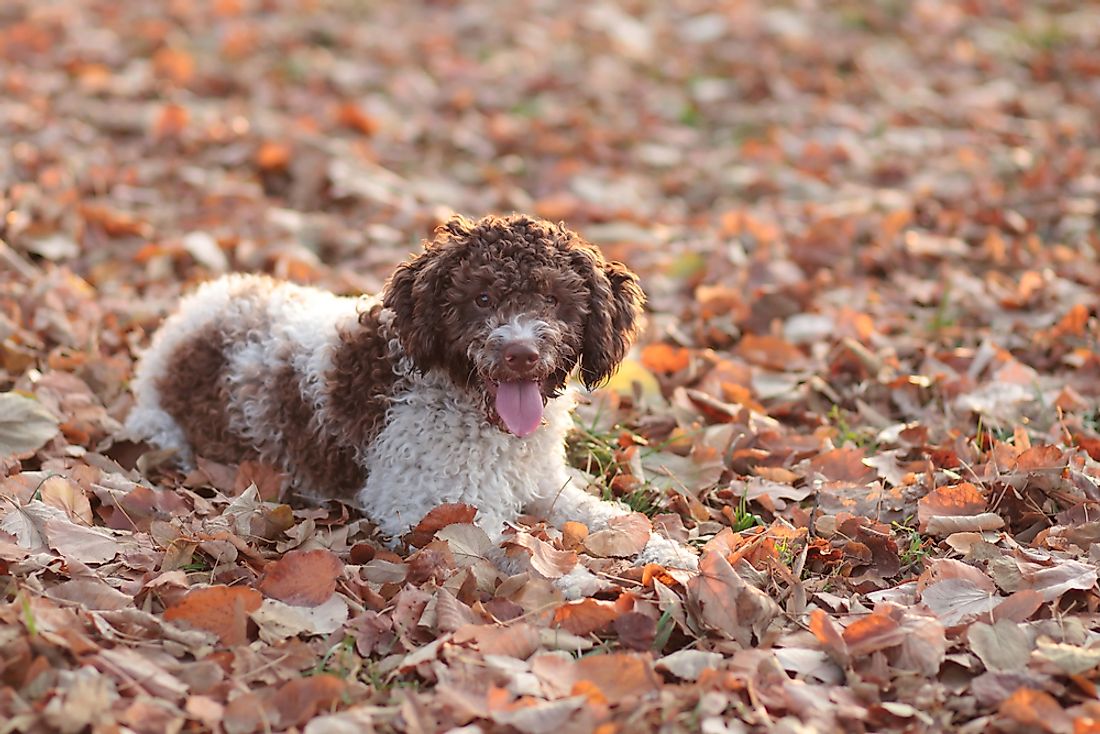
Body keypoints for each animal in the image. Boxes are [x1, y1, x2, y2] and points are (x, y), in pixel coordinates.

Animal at [126, 215, 695, 594]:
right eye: (481, 299)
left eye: (553, 299)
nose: (520, 353)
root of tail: (192, 314)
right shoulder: (422, 506)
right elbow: (511, 549)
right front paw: (578, 579)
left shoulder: (541, 484)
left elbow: (603, 517)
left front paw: (669, 553)